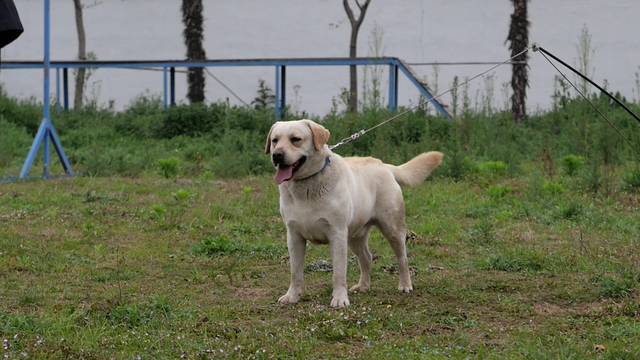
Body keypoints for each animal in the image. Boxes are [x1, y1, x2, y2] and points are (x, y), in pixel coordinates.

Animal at [264, 119, 440, 308]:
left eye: (295, 139)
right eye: (275, 141)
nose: (277, 155)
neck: (307, 185)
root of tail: (385, 165)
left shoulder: (337, 234)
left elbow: (339, 272)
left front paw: (340, 298)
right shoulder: (294, 236)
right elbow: (295, 271)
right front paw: (292, 295)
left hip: (393, 229)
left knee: (402, 258)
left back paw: (405, 285)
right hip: (355, 236)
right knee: (367, 257)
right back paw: (363, 286)